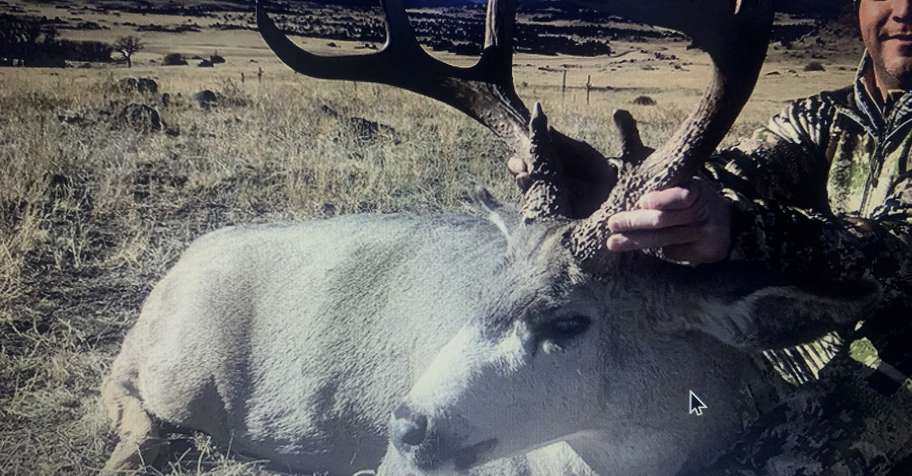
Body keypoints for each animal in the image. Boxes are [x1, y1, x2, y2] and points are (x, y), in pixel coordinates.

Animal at [101, 0, 884, 474]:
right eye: (485, 293)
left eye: (568, 321)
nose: (406, 427)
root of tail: (176, 269)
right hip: (174, 372)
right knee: (125, 401)